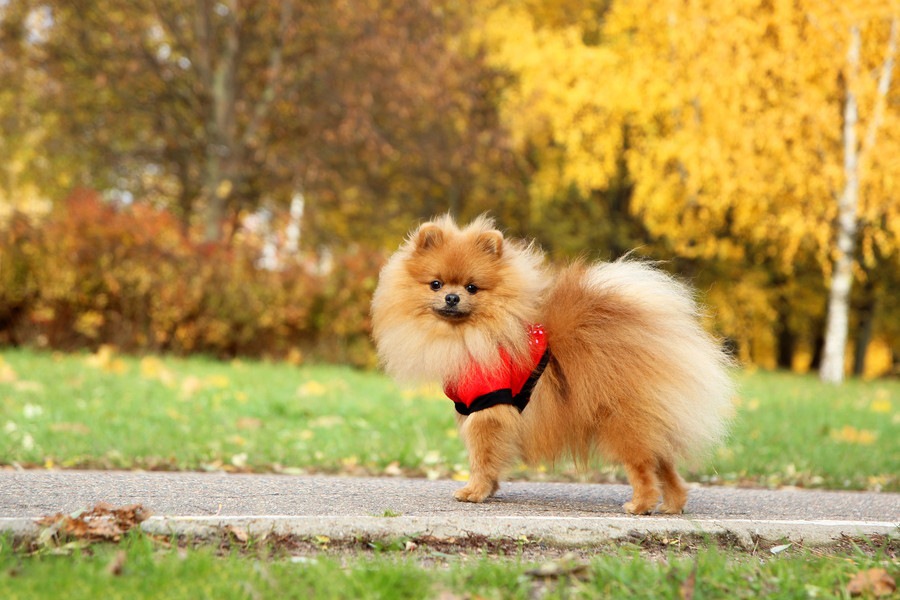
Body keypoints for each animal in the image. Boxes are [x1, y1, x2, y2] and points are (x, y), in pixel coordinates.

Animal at [370, 213, 732, 512]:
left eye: (472, 288)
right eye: (436, 284)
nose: (452, 297)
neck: (472, 334)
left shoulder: (488, 408)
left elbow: (481, 455)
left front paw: (474, 492)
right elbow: (491, 456)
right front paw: (489, 490)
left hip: (619, 420)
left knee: (643, 464)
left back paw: (640, 505)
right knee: (665, 464)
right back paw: (672, 505)